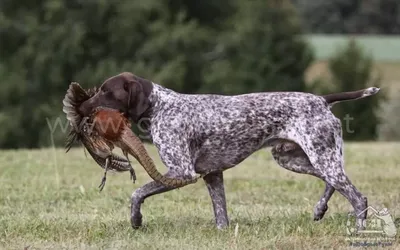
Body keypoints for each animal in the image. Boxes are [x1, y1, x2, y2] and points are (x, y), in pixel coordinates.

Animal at [78, 71, 382, 229]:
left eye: (106, 91)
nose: (80, 106)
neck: (161, 106)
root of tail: (321, 99)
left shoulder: (182, 171)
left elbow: (137, 193)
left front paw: (136, 219)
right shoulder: (212, 174)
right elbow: (221, 213)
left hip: (320, 156)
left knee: (358, 198)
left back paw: (359, 229)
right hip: (296, 158)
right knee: (333, 183)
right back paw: (319, 209)